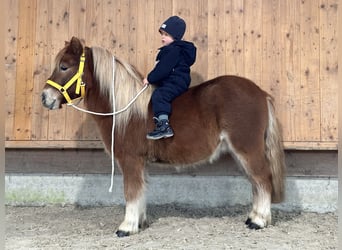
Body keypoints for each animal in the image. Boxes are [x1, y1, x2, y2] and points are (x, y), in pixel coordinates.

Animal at [41, 36, 284, 236]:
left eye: (64, 66)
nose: (45, 97)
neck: (124, 109)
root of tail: (261, 93)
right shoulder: (140, 163)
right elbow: (141, 192)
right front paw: (139, 223)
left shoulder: (130, 160)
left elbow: (131, 192)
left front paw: (126, 227)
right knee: (256, 183)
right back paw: (253, 217)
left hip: (247, 149)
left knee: (262, 179)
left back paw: (259, 221)